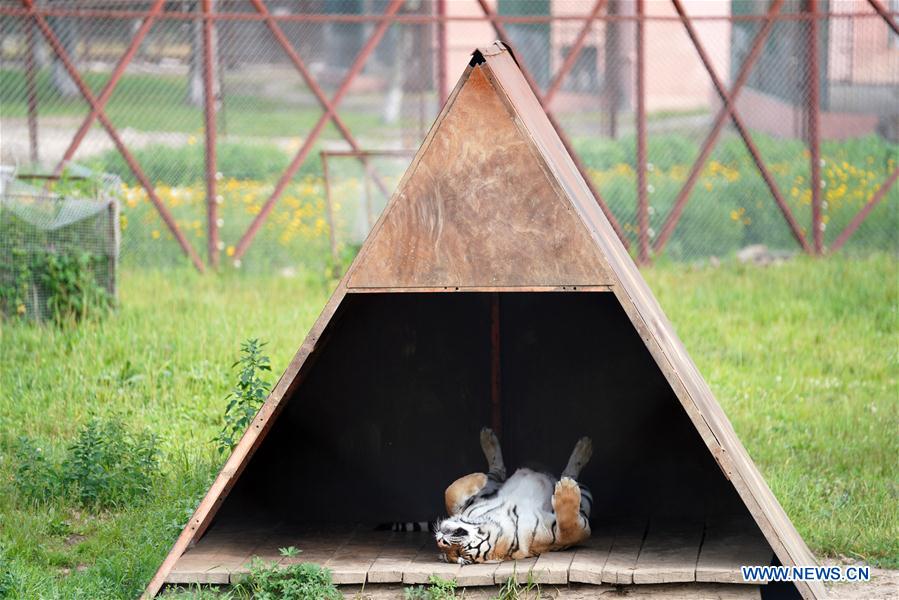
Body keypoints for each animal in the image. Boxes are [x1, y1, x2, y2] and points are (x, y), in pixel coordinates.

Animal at [434, 428, 596, 564]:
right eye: (460, 555)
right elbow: (569, 528)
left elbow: (450, 493)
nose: (440, 541)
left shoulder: (470, 504)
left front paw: (479, 477)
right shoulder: (564, 537)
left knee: (497, 471)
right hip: (585, 495)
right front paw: (566, 488)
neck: (495, 518)